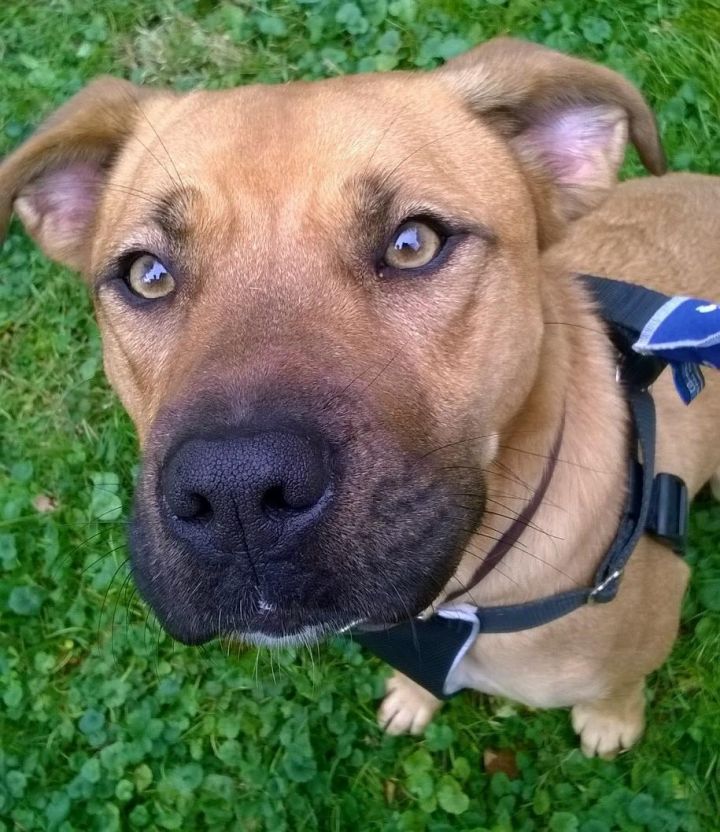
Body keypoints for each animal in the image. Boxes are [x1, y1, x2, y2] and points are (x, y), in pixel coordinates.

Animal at [1, 39, 720, 756]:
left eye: (413, 244)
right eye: (147, 275)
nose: (236, 494)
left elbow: (620, 685)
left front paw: (611, 721)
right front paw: (413, 696)